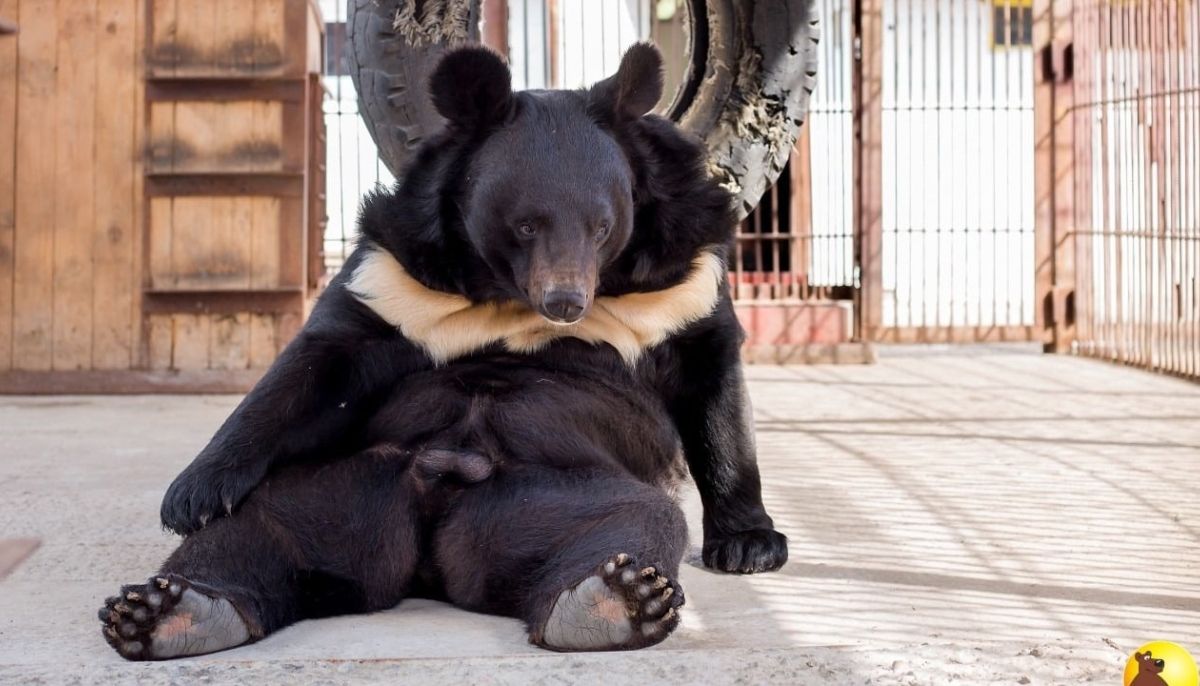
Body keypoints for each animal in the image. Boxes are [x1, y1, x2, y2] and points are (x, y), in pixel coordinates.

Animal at [98, 41, 782, 657]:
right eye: (525, 225)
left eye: (602, 227)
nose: (566, 302)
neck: (506, 293)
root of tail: (431, 546)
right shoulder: (397, 274)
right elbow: (315, 366)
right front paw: (190, 496)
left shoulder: (682, 282)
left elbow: (712, 389)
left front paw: (750, 545)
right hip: (336, 490)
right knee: (254, 534)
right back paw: (168, 611)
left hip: (562, 496)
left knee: (636, 521)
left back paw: (614, 600)